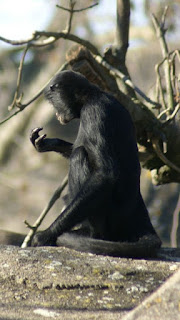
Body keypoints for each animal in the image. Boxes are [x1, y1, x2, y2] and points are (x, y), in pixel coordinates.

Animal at [29, 70, 162, 258]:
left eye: (54, 103)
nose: (55, 114)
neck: (93, 95)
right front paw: (47, 144)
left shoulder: (94, 113)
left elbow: (105, 174)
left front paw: (46, 235)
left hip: (108, 219)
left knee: (79, 155)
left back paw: (90, 234)